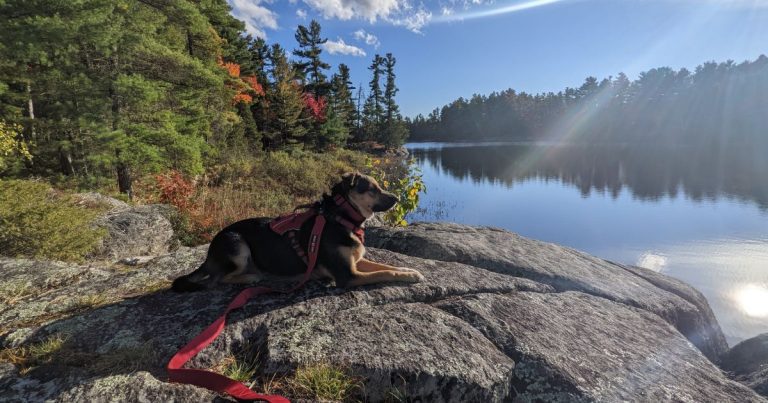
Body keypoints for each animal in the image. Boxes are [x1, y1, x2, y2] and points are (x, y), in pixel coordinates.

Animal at [171, 172, 426, 292]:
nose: (396, 199)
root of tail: (209, 254)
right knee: (216, 280)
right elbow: (385, 272)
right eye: (373, 189)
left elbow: (386, 266)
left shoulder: (356, 261)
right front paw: (410, 276)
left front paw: (410, 271)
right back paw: (253, 276)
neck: (340, 217)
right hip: (236, 244)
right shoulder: (347, 276)